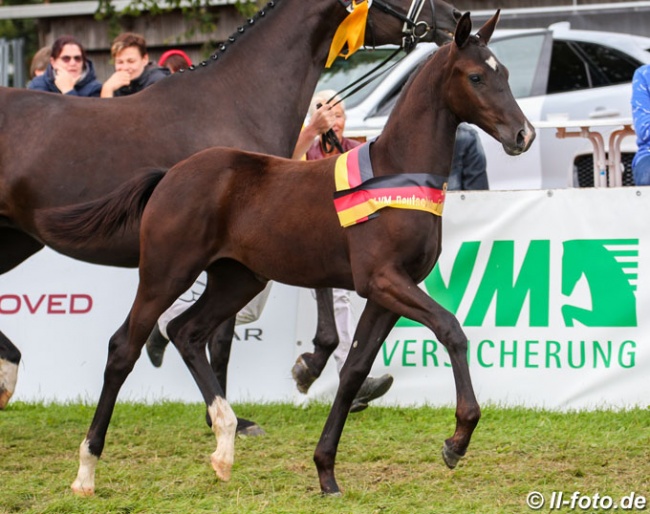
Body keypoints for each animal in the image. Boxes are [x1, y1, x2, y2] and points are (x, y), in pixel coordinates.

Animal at [0, 0, 460, 412]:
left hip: (19, 239)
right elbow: (221, 336)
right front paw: (233, 410)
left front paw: (319, 367)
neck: (237, 99)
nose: (453, 17)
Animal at [38, 9, 532, 492]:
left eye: (505, 72)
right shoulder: (384, 280)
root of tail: (169, 175)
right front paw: (457, 440)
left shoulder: (388, 292)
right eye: (476, 77)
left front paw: (326, 470)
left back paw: (225, 442)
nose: (523, 135)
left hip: (237, 279)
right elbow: (451, 330)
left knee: (187, 331)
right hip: (166, 272)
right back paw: (87, 470)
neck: (396, 174)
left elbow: (354, 370)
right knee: (125, 347)